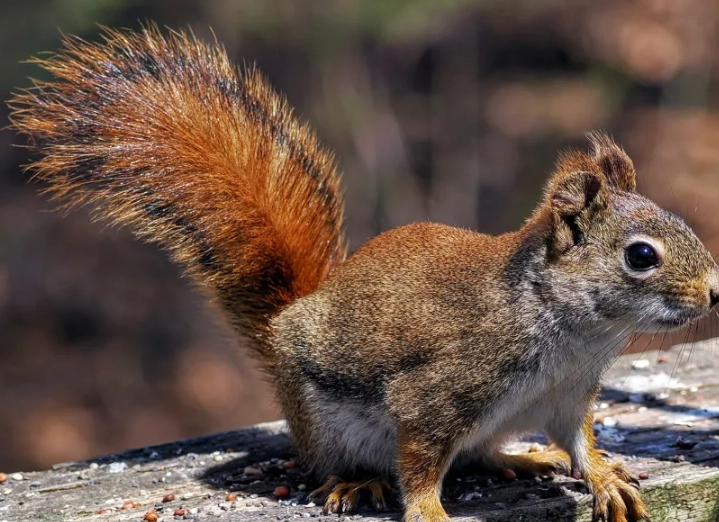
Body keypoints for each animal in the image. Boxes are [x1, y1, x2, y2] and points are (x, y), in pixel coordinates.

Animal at [8, 24, 719, 522]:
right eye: (641, 256)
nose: (714, 291)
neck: (575, 336)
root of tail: (287, 320)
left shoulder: (569, 396)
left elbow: (578, 442)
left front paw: (601, 476)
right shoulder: (437, 391)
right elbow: (422, 461)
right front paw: (428, 510)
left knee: (482, 450)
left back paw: (519, 455)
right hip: (326, 425)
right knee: (344, 462)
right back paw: (359, 481)